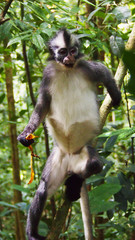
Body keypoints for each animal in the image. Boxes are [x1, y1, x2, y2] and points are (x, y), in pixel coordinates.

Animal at [17, 28, 121, 240]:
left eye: (73, 51)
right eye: (63, 51)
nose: (69, 58)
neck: (67, 70)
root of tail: (71, 158)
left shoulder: (88, 67)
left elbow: (105, 74)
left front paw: (116, 98)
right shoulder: (48, 75)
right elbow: (42, 105)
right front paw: (26, 133)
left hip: (84, 152)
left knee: (95, 164)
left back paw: (74, 182)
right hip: (58, 158)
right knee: (42, 190)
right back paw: (32, 233)